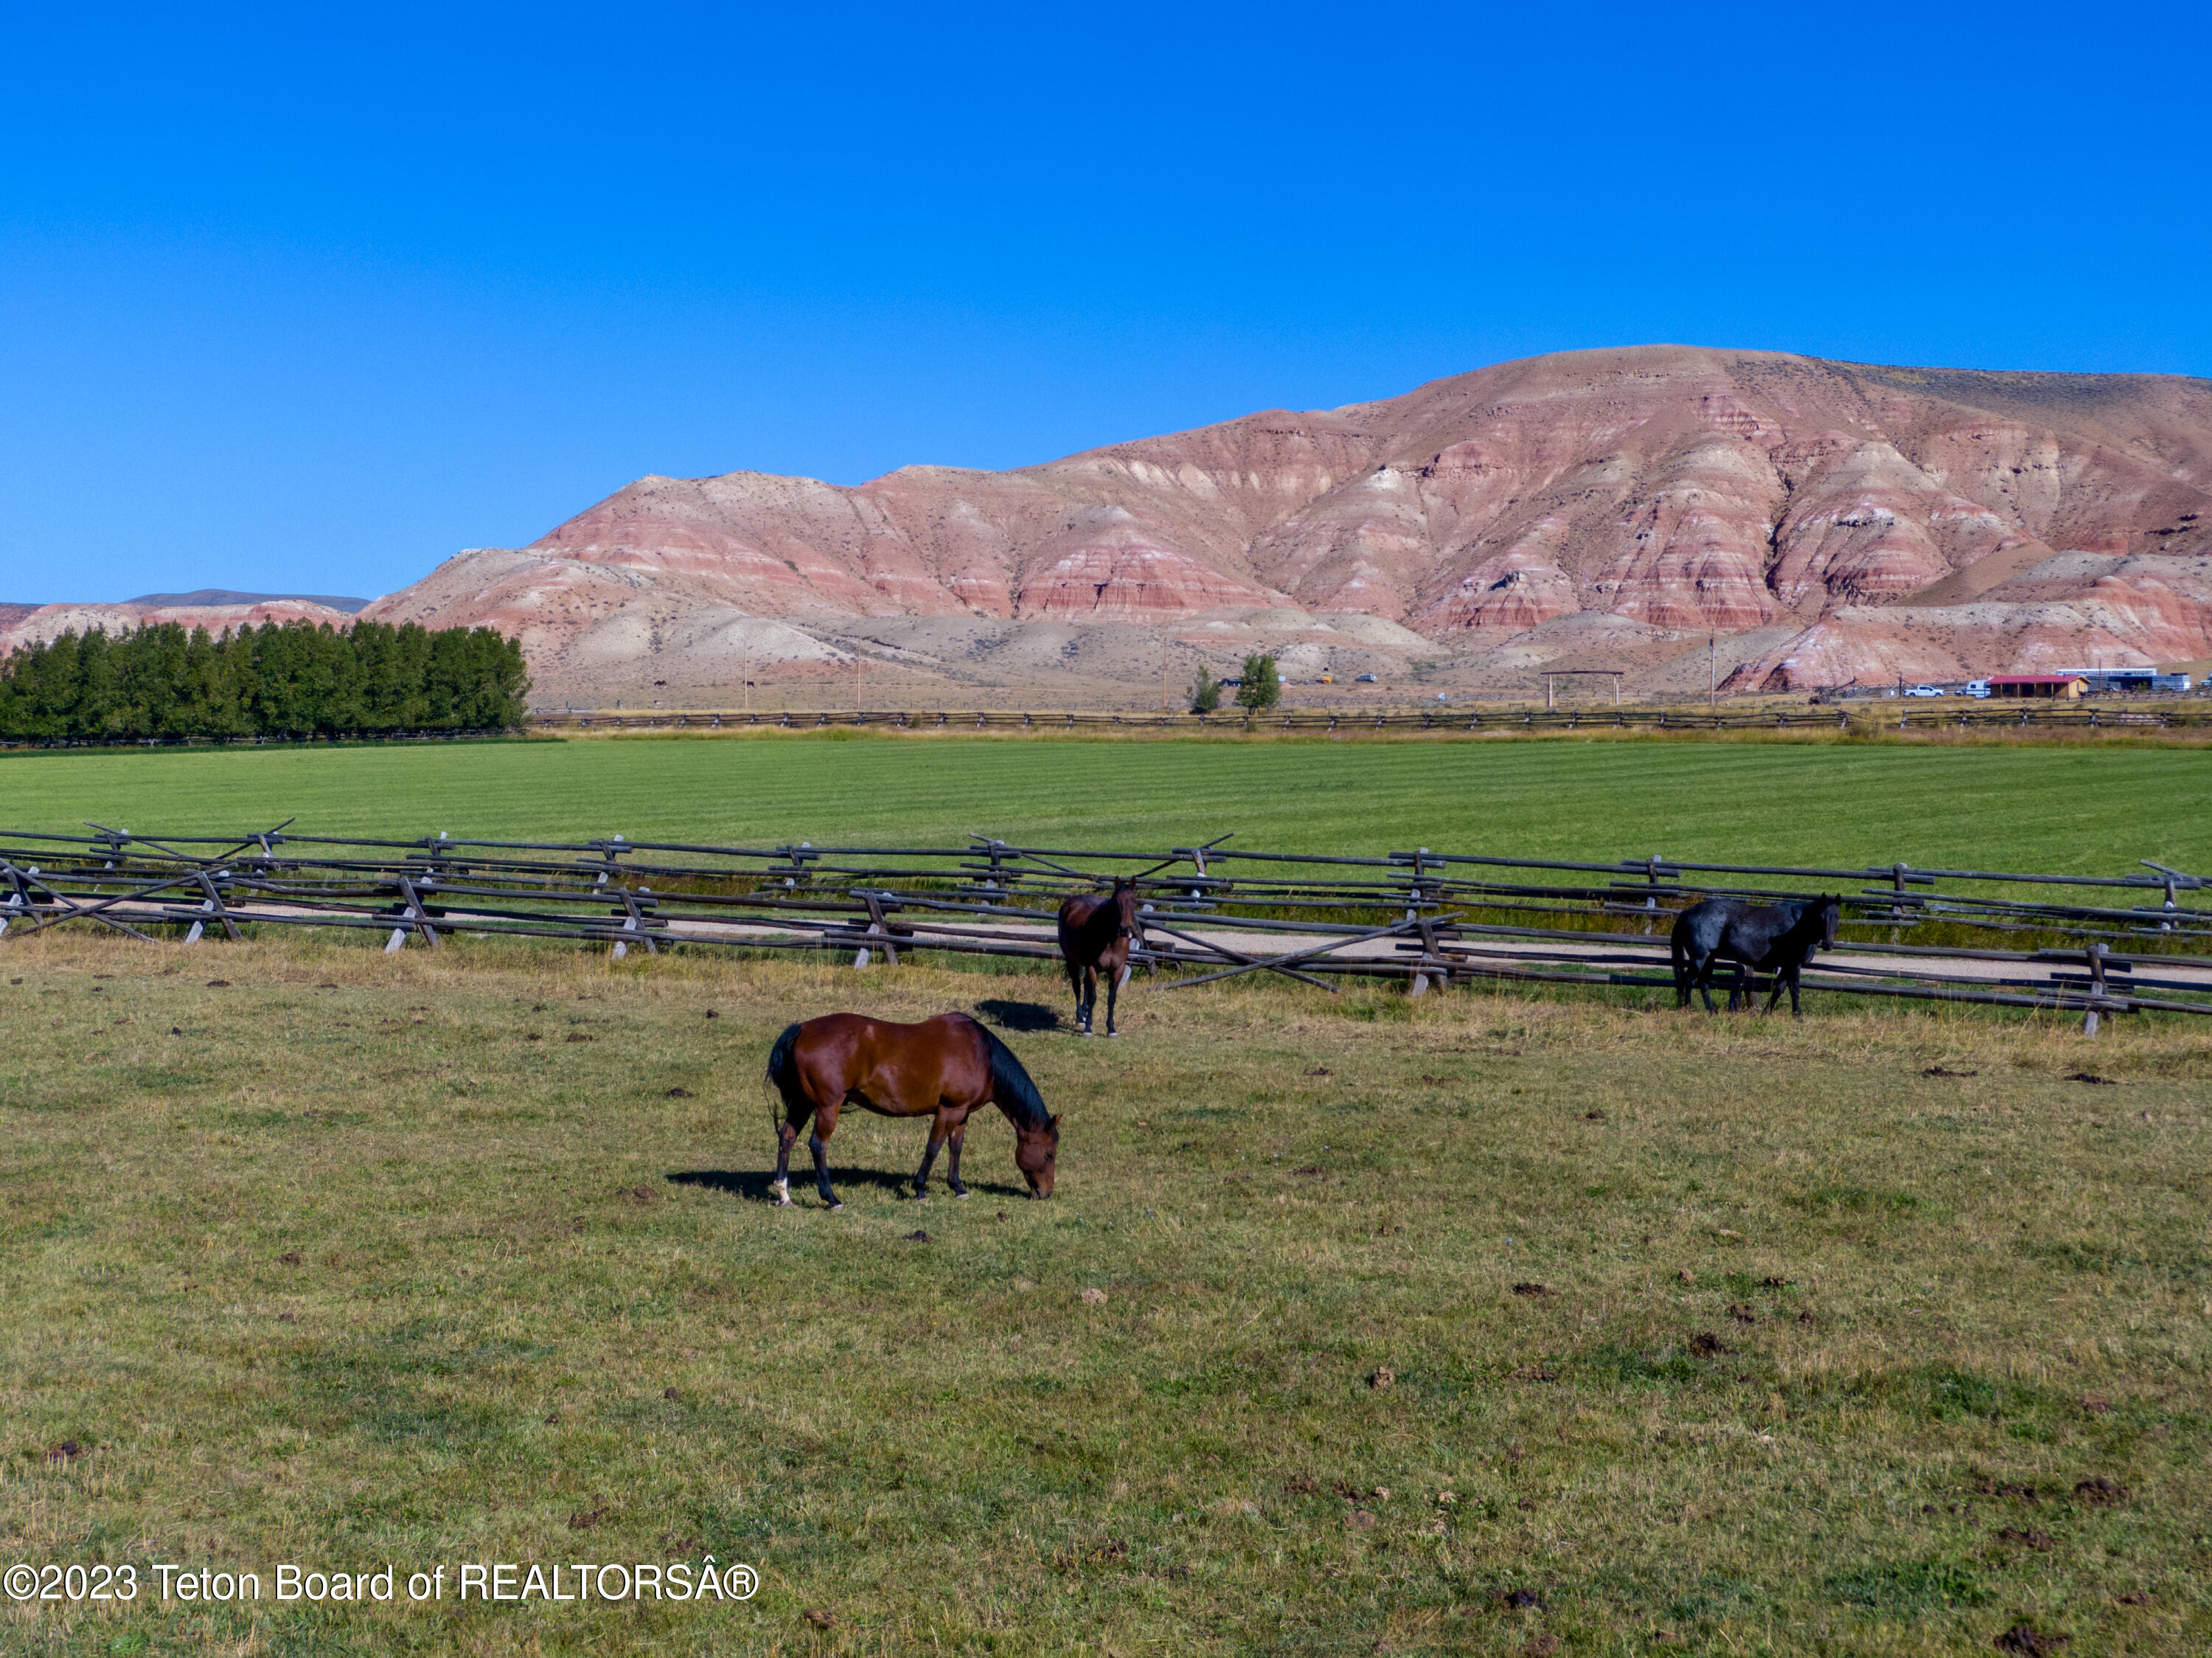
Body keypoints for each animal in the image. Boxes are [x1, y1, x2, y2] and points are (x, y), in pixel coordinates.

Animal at [763, 1012, 1058, 1210]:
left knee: (787, 1138)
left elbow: (955, 1149)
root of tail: (802, 1029)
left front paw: (958, 1188)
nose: (1046, 1193)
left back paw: (784, 1195)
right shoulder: (949, 1111)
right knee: (817, 1145)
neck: (981, 1055)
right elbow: (933, 1148)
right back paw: (831, 1198)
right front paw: (920, 1189)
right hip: (826, 1107)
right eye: (1049, 1154)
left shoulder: (962, 1114)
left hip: (802, 1104)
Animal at [1057, 877, 1140, 1037]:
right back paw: (1080, 1019)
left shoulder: (1118, 969)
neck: (1110, 940)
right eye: (1116, 901)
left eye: (1133, 900)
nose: (1124, 929)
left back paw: (1084, 1014)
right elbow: (1093, 997)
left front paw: (1111, 1029)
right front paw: (1088, 1028)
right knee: (1077, 987)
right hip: (1071, 961)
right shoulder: (1092, 968)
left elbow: (1111, 998)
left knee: (1086, 985)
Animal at [1671, 895, 1842, 1018]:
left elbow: (1778, 989)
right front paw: (1798, 1016)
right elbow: (1794, 990)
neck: (1799, 925)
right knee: (1690, 980)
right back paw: (1687, 1009)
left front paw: (1765, 1014)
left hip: (1710, 958)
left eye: (1837, 916)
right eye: (1821, 916)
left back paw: (1712, 1012)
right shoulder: (1794, 964)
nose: (1828, 944)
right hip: (1699, 957)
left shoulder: (1787, 966)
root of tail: (1686, 913)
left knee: (1703, 982)